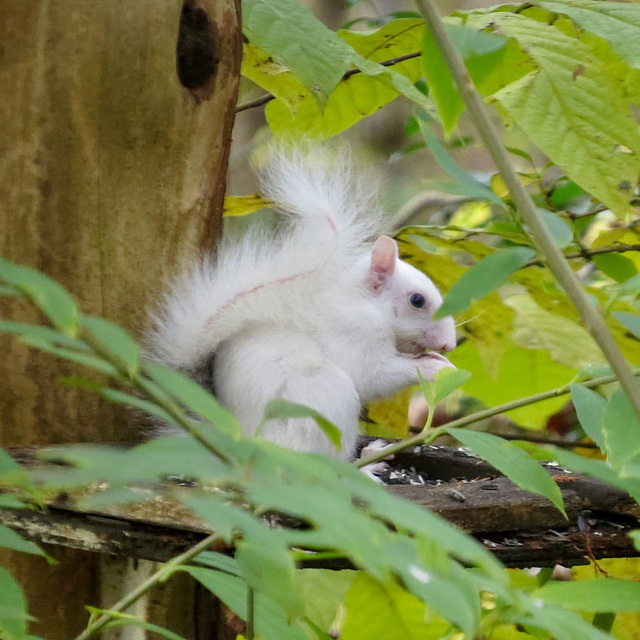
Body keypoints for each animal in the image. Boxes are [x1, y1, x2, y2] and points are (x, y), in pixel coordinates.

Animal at [146, 148, 456, 458]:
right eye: (417, 300)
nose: (450, 344)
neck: (364, 304)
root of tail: (242, 441)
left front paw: (440, 361)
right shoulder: (353, 334)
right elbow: (373, 377)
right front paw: (434, 368)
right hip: (327, 398)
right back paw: (370, 462)